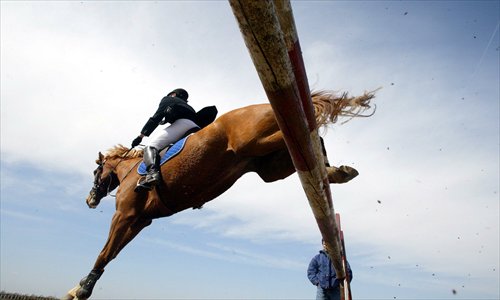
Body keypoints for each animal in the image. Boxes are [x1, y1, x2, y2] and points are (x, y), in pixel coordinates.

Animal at [63, 89, 376, 300]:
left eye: (96, 171)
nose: (89, 200)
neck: (129, 171)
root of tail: (264, 104)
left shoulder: (125, 215)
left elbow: (105, 252)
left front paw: (81, 289)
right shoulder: (139, 221)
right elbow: (112, 254)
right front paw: (81, 286)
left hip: (257, 142)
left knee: (308, 133)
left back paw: (334, 167)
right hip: (268, 166)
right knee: (309, 141)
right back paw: (338, 172)